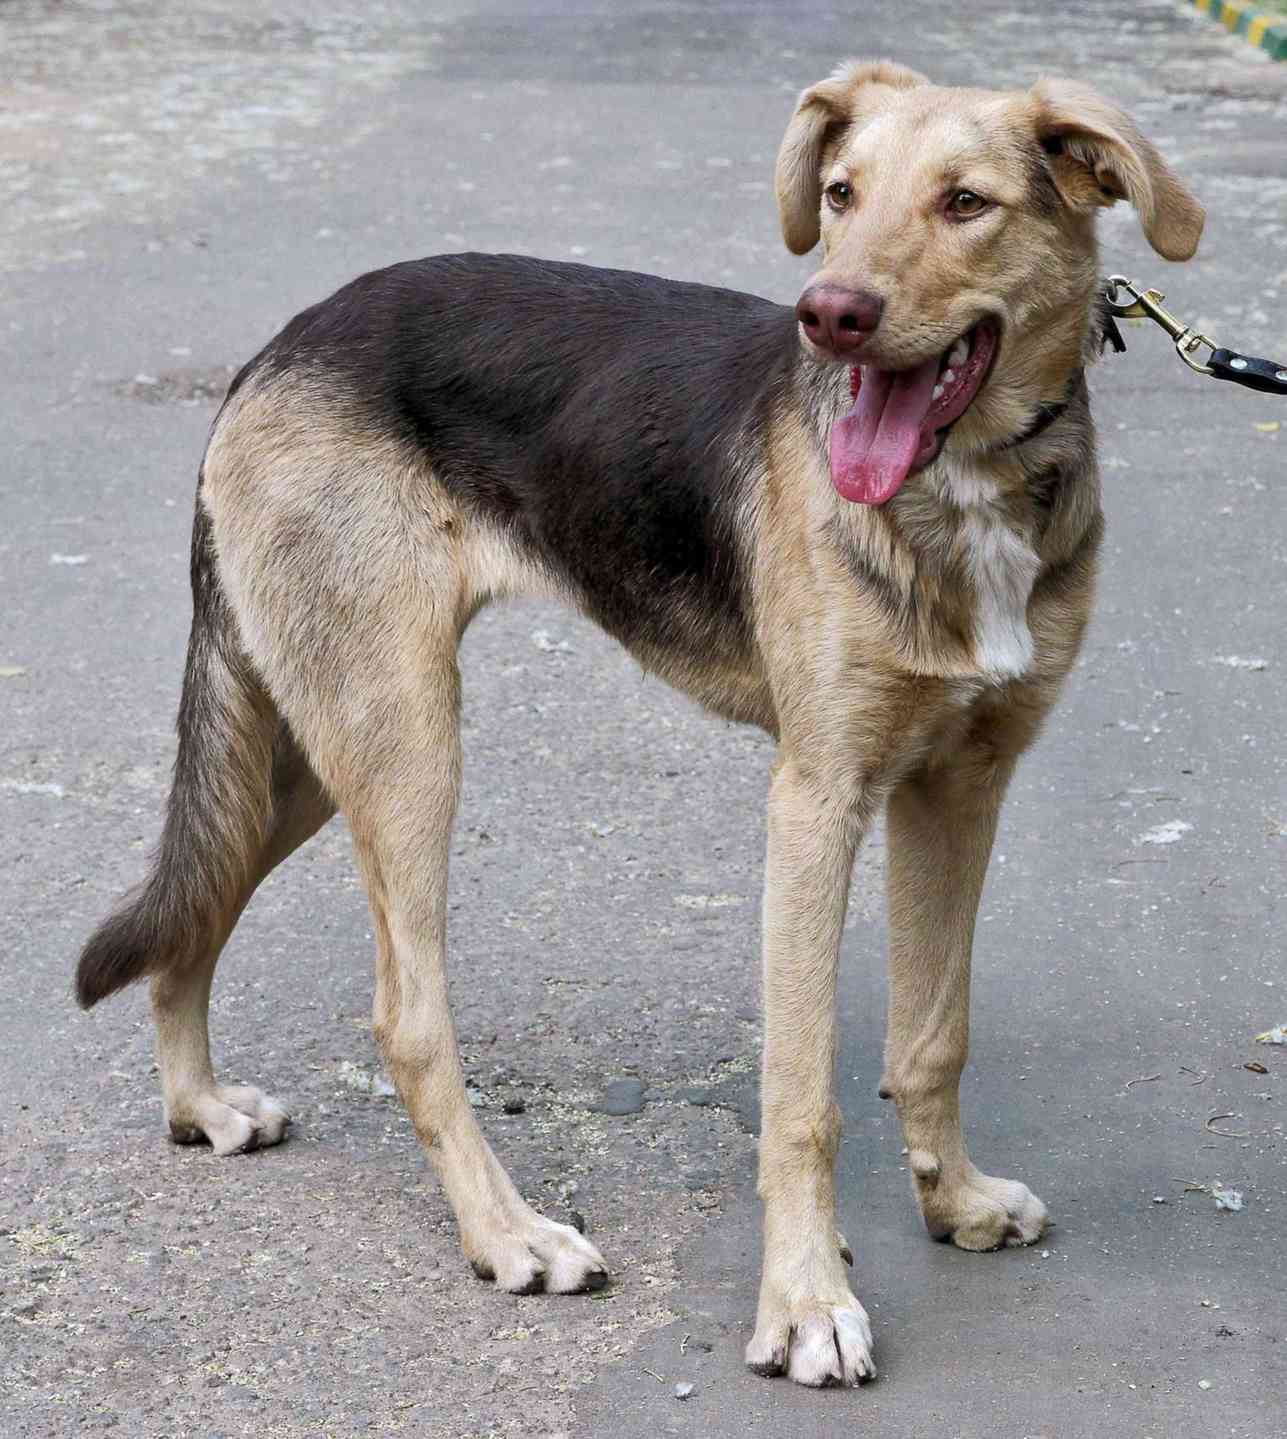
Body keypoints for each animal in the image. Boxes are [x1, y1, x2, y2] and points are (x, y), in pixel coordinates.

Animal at [78, 61, 1209, 1387]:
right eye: (840, 193)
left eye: (966, 202)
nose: (828, 314)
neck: (961, 489)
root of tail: (280, 343)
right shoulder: (817, 798)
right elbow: (804, 1096)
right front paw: (806, 1303)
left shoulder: (962, 783)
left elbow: (934, 1034)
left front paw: (956, 1201)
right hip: (405, 738)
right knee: (407, 1018)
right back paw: (509, 1233)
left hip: (309, 749)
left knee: (193, 902)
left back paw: (197, 1103)